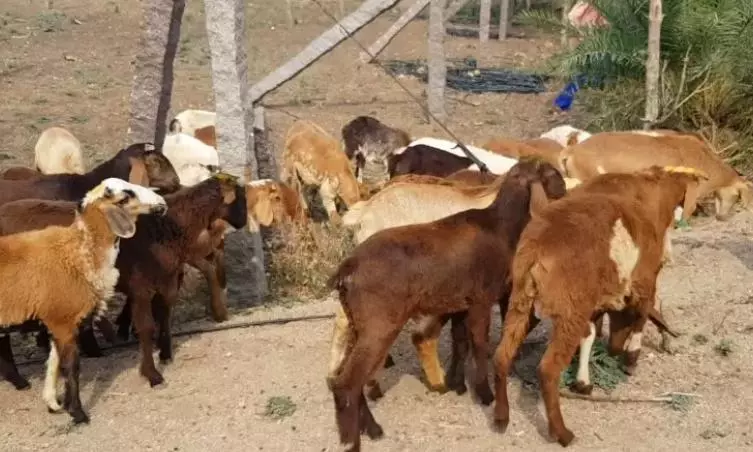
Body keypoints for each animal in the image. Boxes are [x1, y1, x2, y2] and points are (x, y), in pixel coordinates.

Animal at [0, 178, 166, 423]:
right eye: (124, 197)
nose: (162, 203)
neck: (79, 251)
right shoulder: (63, 321)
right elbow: (71, 367)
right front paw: (77, 413)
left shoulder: (57, 319)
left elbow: (54, 363)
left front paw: (53, 403)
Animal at [326, 160, 567, 451]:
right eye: (552, 173)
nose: (565, 190)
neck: (498, 224)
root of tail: (347, 269)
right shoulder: (481, 299)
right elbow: (479, 344)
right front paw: (484, 394)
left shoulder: (461, 303)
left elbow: (461, 341)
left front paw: (457, 384)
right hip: (378, 325)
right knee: (347, 382)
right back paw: (355, 438)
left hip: (360, 323)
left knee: (350, 375)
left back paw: (371, 427)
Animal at [493, 166, 706, 447]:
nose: (615, 349)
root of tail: (538, 251)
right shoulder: (644, 277)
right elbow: (642, 313)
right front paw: (631, 358)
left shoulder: (595, 297)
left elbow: (591, 332)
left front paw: (583, 382)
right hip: (570, 308)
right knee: (548, 370)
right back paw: (563, 433)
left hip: (523, 302)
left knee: (502, 355)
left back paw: (501, 418)